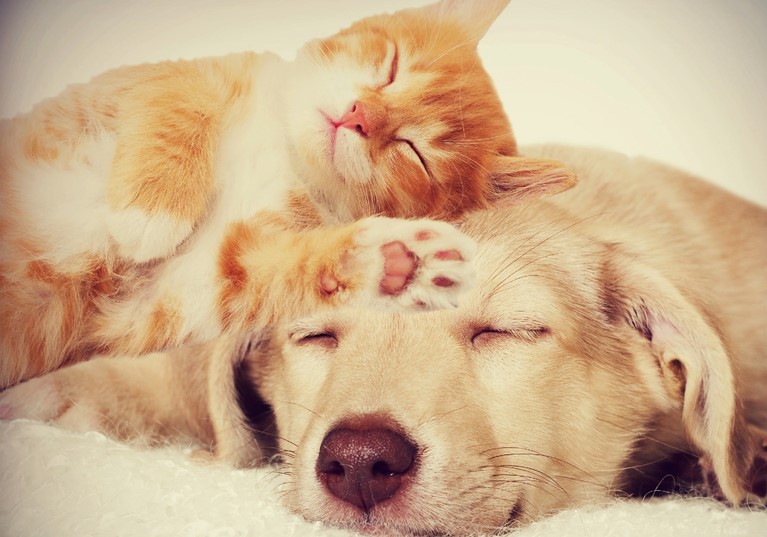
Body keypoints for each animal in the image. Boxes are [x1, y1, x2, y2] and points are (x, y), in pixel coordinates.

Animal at [0, 0, 576, 388]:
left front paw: (395, 261)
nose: (359, 116)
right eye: (392, 67)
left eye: (415, 152)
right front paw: (153, 204)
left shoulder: (157, 302)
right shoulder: (126, 87)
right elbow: (185, 92)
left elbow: (258, 276)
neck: (283, 147)